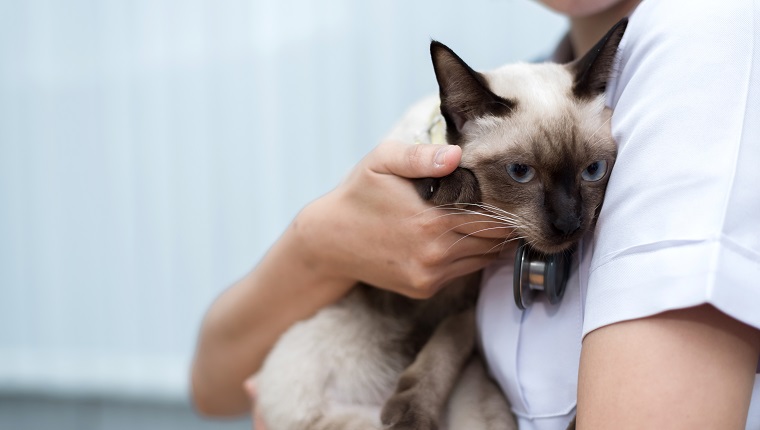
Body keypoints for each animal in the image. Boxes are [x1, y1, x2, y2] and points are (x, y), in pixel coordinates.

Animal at [255, 17, 628, 430]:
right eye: (520, 172)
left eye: (593, 170)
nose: (569, 224)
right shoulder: (376, 281)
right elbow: (438, 163)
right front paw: (450, 183)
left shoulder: (466, 307)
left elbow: (446, 345)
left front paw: (411, 415)